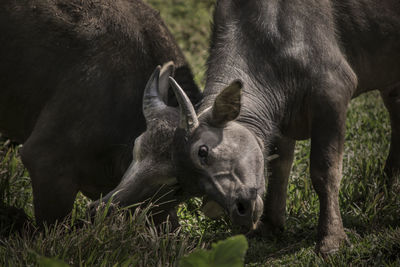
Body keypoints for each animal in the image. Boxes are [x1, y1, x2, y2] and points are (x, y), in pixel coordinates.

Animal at [126, 0, 398, 255]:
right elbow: (279, 167)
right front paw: (270, 224)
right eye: (186, 185)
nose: (241, 211)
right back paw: (383, 195)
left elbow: (325, 171)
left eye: (203, 151)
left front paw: (331, 240)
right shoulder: (280, 122)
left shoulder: (332, 94)